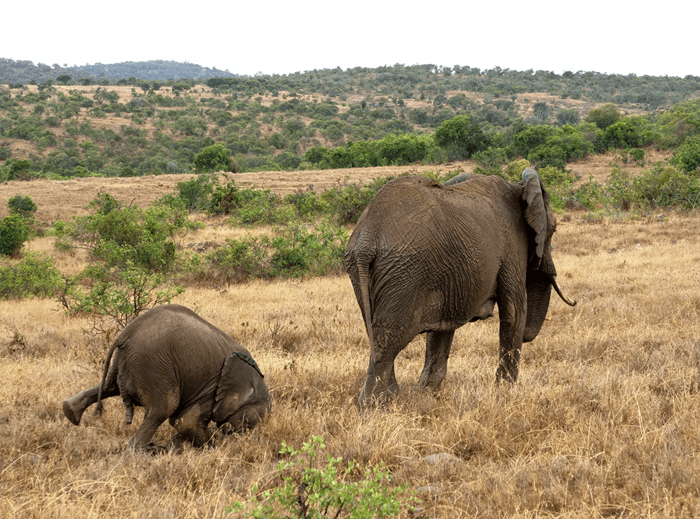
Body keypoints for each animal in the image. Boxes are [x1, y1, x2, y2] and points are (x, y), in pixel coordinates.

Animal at [62, 304, 271, 451]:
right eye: (250, 424)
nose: (241, 441)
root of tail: (125, 335)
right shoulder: (212, 386)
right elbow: (186, 422)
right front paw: (210, 448)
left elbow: (182, 423)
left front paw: (178, 448)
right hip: (152, 365)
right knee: (163, 408)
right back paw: (141, 453)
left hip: (127, 364)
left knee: (107, 388)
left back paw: (70, 412)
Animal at [344, 168, 576, 406]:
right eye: (553, 229)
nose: (574, 301)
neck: (518, 187)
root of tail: (367, 238)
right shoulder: (513, 244)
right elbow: (514, 313)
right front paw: (506, 393)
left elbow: (442, 327)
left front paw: (424, 395)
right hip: (403, 273)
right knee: (388, 339)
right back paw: (378, 405)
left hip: (369, 272)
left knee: (376, 334)